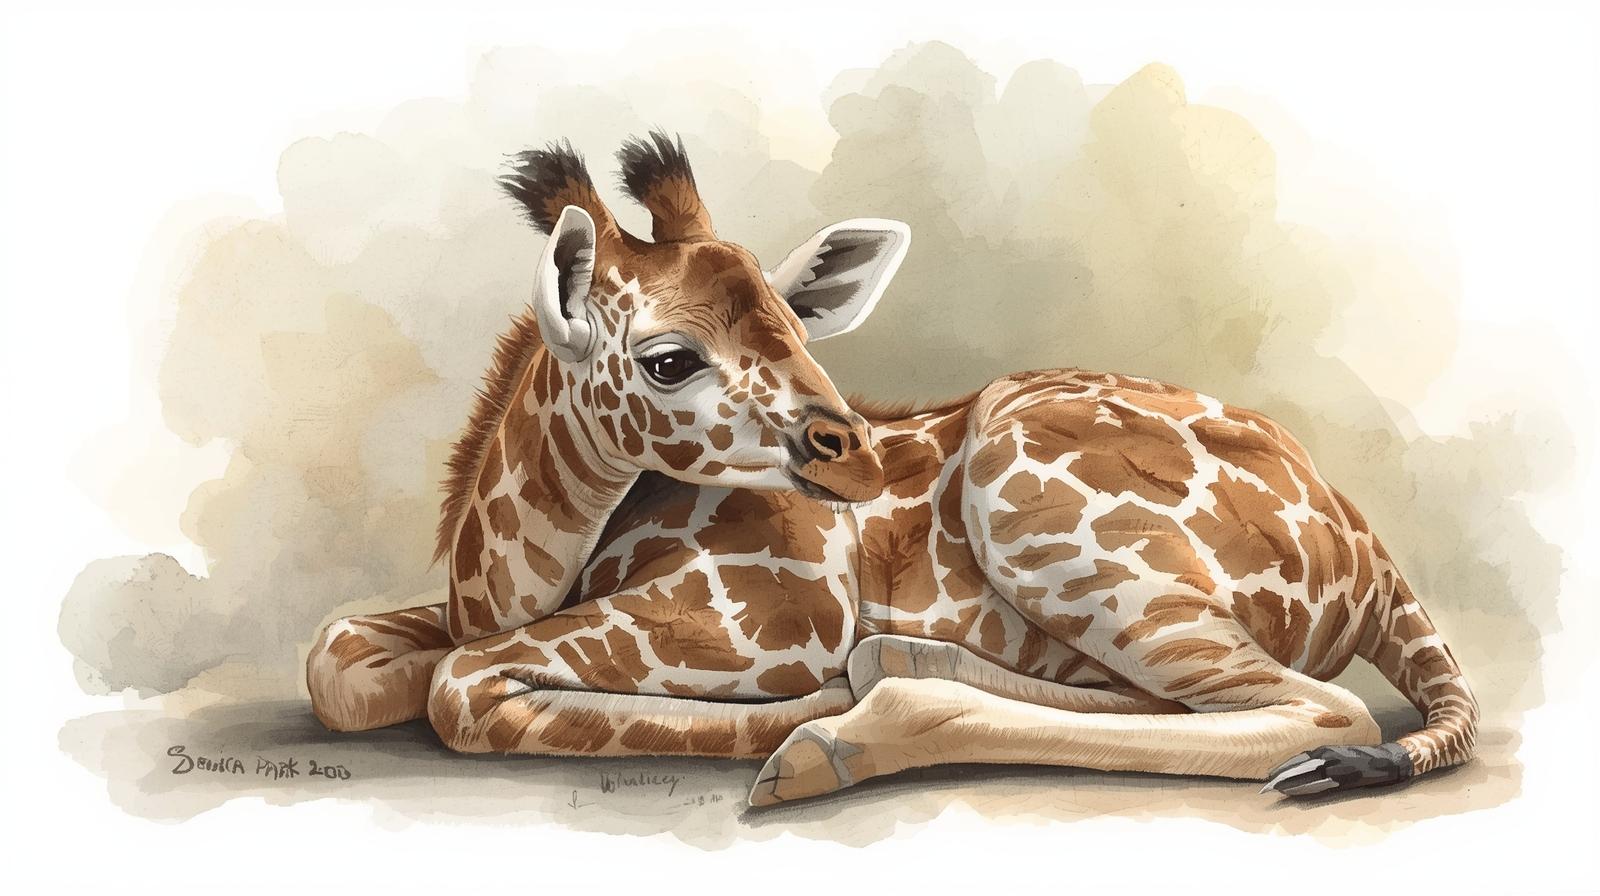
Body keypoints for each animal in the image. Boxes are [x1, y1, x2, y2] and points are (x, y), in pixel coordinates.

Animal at [306, 132, 1478, 806]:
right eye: (669, 358)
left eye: (798, 329)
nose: (855, 453)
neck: (504, 577)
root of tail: (1367, 553)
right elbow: (342, 656)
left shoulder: (774, 618)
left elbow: (462, 687)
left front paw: (801, 716)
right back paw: (899, 666)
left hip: (1036, 502)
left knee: (1320, 713)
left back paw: (838, 733)